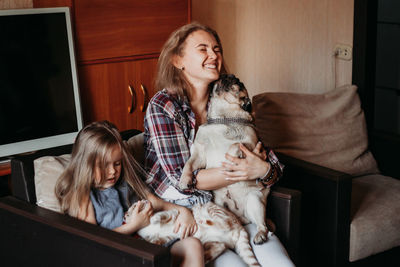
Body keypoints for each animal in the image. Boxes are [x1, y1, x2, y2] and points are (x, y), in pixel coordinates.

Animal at [180, 73, 274, 245]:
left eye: (239, 84)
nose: (229, 75)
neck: (223, 117)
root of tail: (242, 216)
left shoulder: (250, 145)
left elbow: (235, 145)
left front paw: (230, 161)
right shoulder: (199, 154)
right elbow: (188, 165)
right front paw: (184, 180)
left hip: (255, 202)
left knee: (262, 225)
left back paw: (260, 235)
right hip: (219, 204)